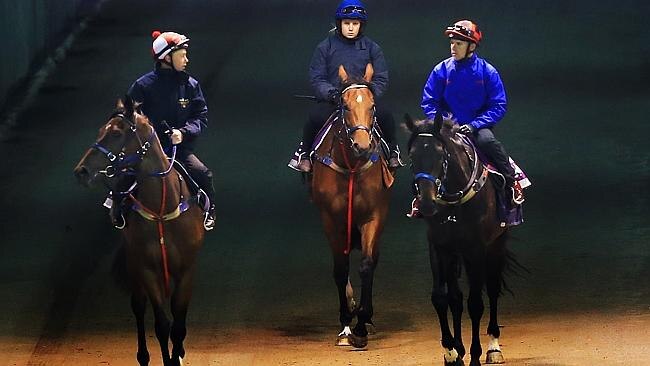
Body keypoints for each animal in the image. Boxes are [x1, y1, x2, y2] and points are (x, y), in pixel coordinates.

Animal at [71, 97, 204, 366]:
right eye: (100, 131)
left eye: (115, 133)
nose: (81, 171)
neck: (162, 208)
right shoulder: (147, 269)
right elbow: (162, 325)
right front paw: (167, 358)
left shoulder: (187, 270)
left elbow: (179, 323)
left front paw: (179, 354)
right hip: (135, 267)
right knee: (139, 307)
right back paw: (143, 356)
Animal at [312, 63, 392, 348]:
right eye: (344, 106)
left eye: (372, 105)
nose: (362, 145)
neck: (351, 168)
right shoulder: (331, 220)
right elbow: (340, 267)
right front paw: (346, 323)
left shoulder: (373, 216)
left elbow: (367, 264)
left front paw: (361, 323)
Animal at [402, 113, 520, 364]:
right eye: (412, 156)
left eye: (440, 154)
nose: (427, 204)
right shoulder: (440, 247)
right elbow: (442, 298)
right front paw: (451, 351)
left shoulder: (476, 249)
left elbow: (475, 303)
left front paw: (475, 355)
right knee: (455, 298)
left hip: (496, 244)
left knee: (492, 289)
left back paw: (493, 347)